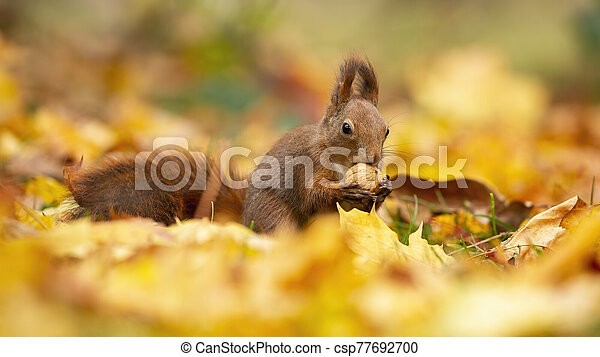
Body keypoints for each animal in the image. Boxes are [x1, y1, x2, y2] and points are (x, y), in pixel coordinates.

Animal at [59, 56, 390, 231]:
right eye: (346, 128)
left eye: (386, 130)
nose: (373, 160)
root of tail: (243, 219)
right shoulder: (304, 164)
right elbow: (312, 195)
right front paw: (347, 189)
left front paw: (383, 189)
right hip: (274, 216)